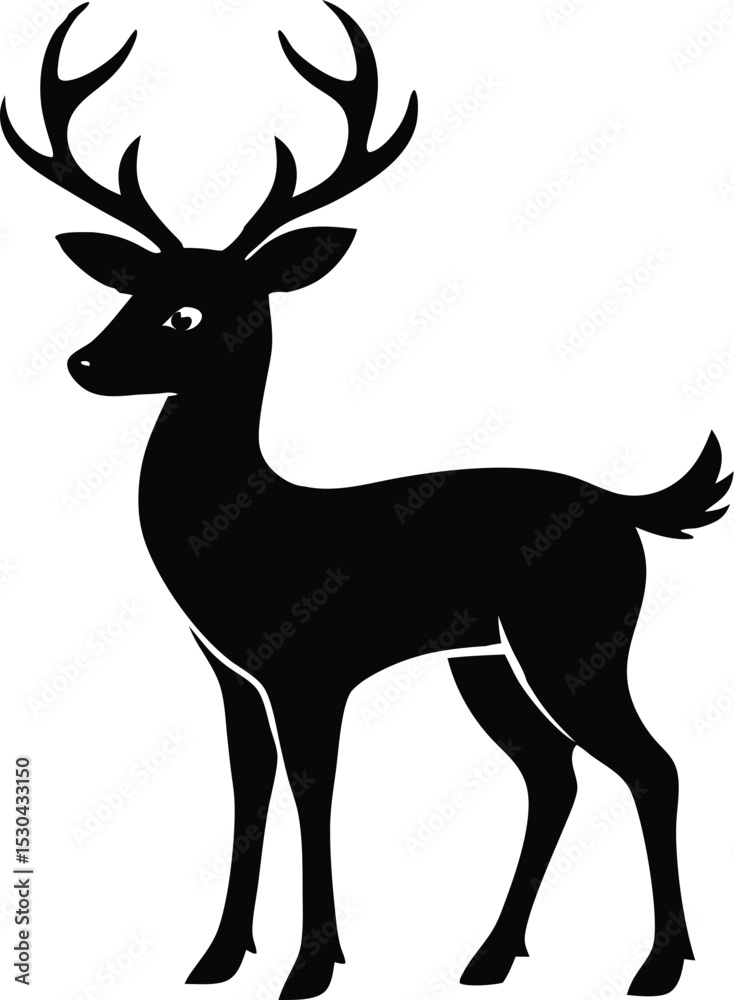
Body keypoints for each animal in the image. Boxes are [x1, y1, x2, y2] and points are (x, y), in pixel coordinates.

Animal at [3, 3, 730, 998]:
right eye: (135, 289)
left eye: (190, 311)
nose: (81, 362)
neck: (246, 535)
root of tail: (630, 508)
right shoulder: (231, 673)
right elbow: (249, 793)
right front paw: (216, 958)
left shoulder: (313, 668)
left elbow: (316, 795)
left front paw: (311, 966)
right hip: (483, 660)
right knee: (554, 772)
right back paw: (489, 956)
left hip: (575, 638)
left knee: (651, 766)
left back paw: (655, 965)